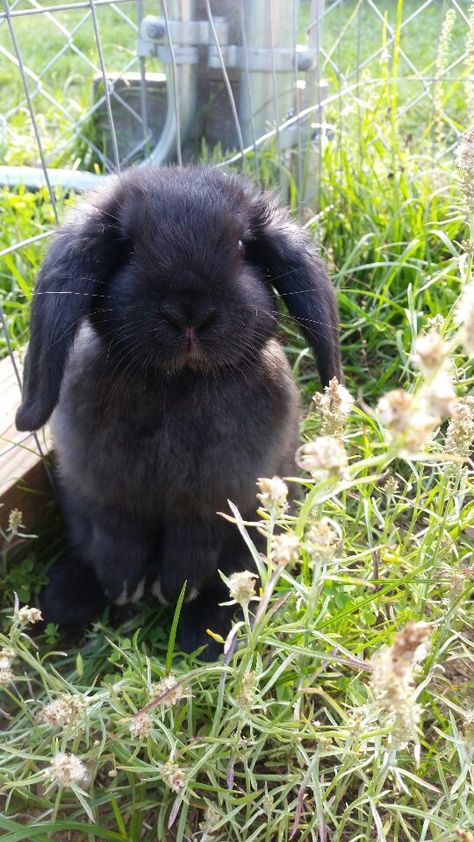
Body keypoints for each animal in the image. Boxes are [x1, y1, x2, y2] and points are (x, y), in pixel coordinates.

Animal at [15, 166, 340, 656]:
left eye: (242, 245)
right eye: (127, 247)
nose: (189, 313)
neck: (179, 385)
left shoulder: (216, 500)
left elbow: (194, 545)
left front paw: (174, 590)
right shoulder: (105, 489)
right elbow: (118, 534)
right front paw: (125, 585)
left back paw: (205, 634)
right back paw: (64, 602)